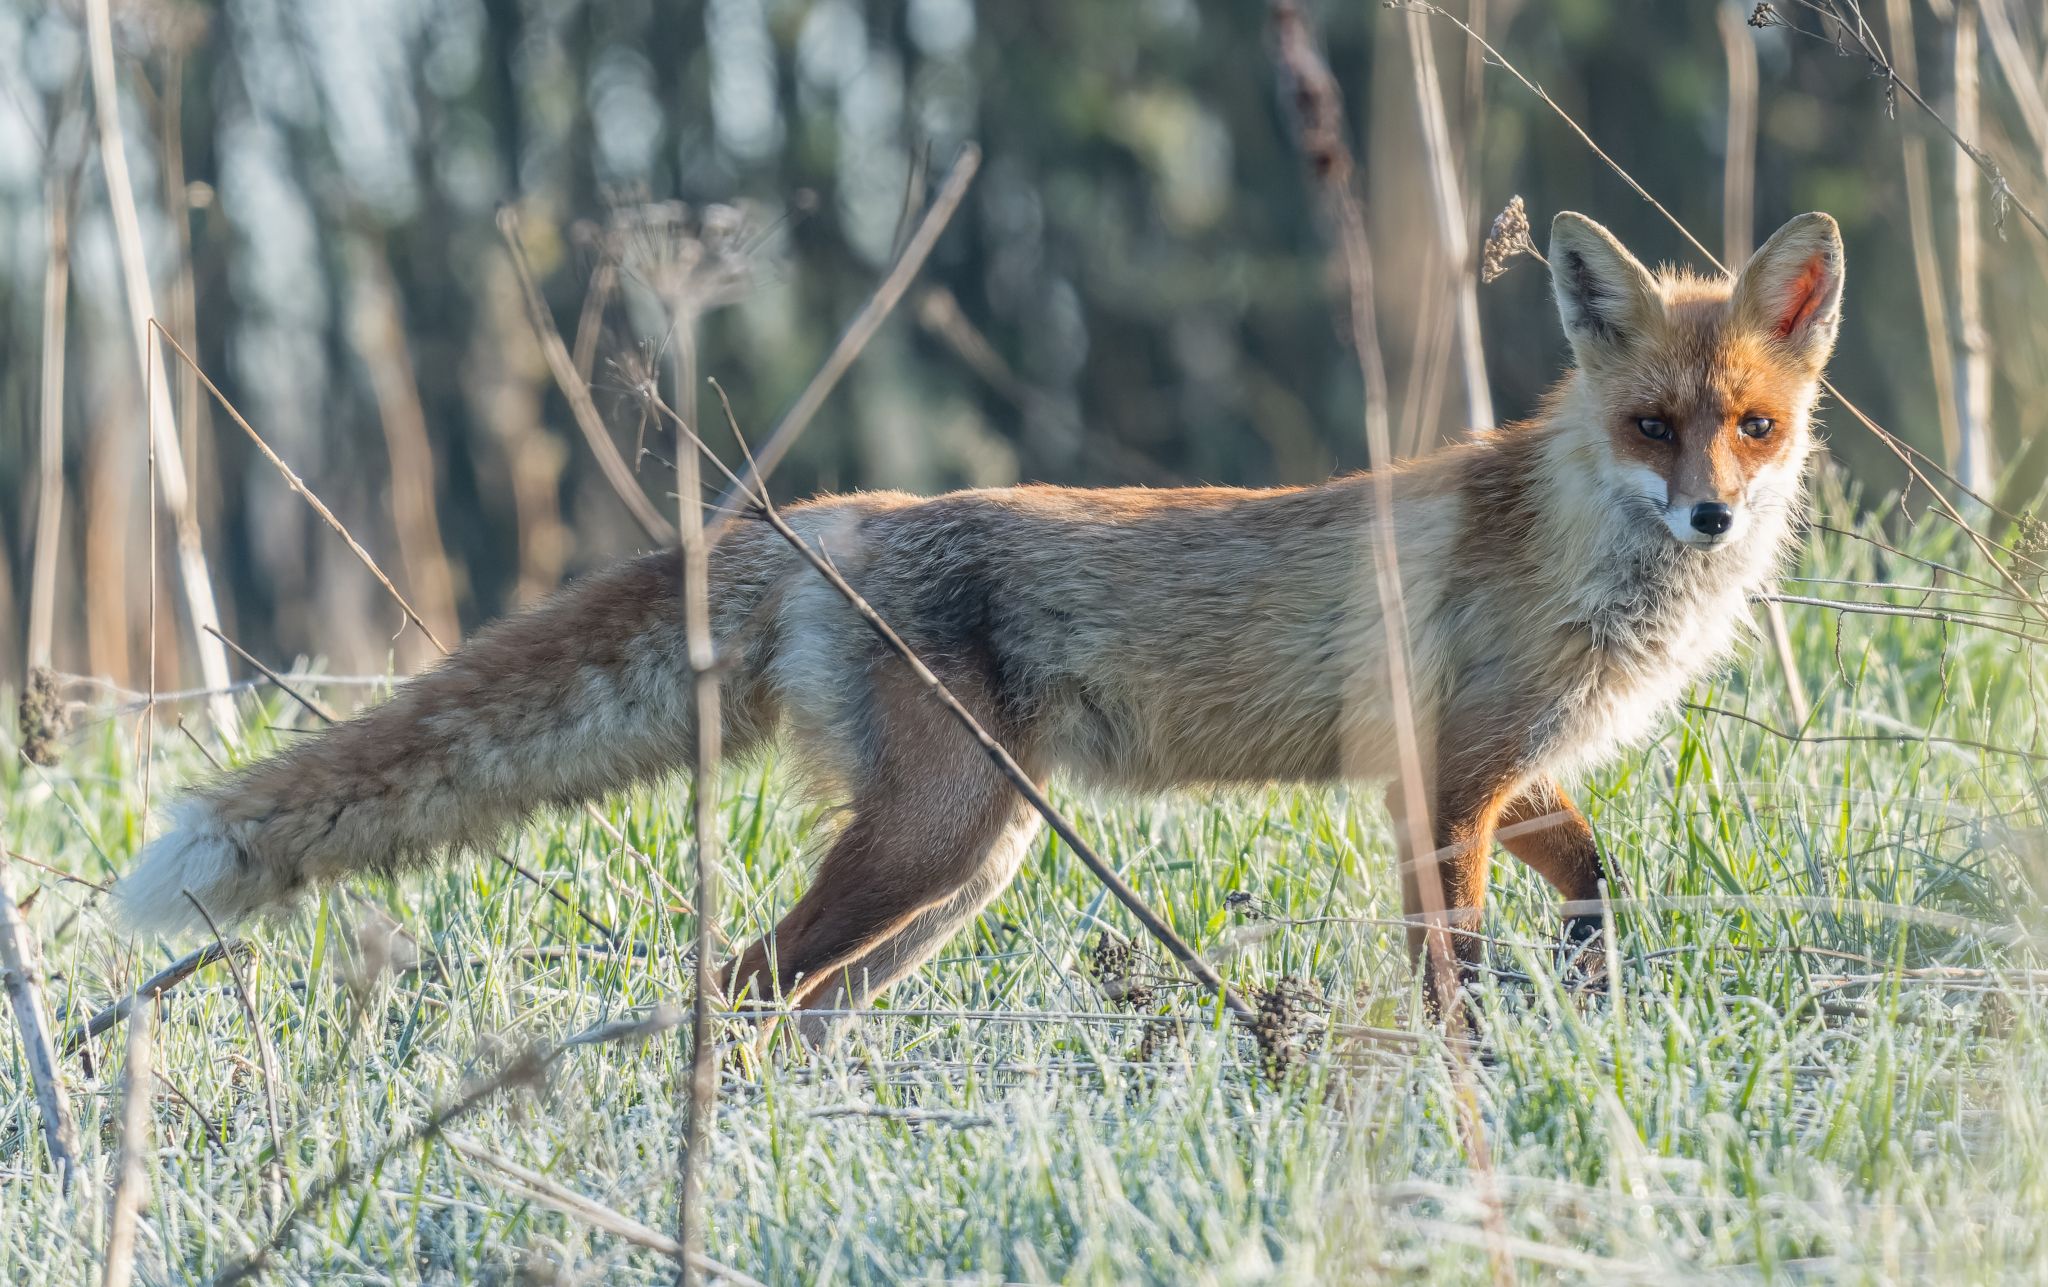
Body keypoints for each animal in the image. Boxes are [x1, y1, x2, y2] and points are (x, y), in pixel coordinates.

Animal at [116, 214, 1843, 1024]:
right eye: (1652, 425)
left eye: (1751, 427)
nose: (1713, 517)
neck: (1573, 552)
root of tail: (824, 515)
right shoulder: (1439, 785)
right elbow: (1453, 978)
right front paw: (1473, 1085)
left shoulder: (1497, 771)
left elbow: (1594, 878)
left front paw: (1595, 990)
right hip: (934, 845)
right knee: (737, 986)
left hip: (961, 870)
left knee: (797, 1006)